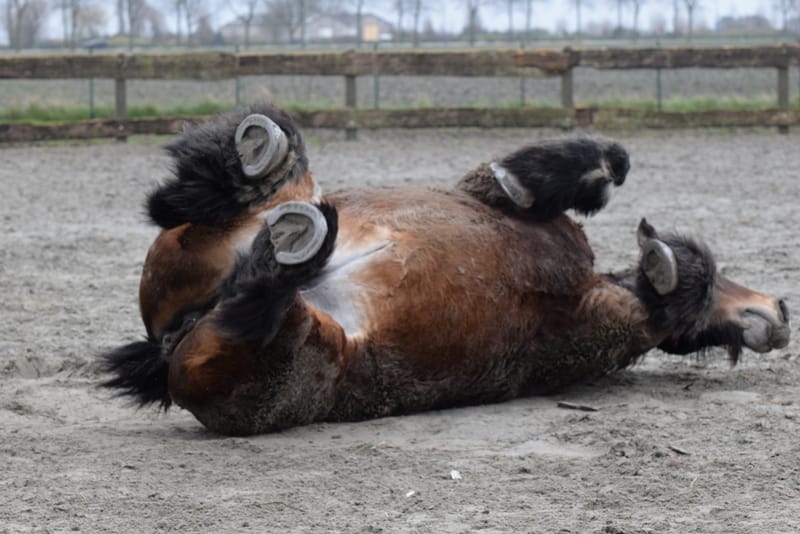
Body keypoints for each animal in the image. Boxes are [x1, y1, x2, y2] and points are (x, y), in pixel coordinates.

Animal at [101, 102, 790, 436]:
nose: (778, 311)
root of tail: (166, 341)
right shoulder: (483, 194)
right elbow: (603, 164)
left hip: (284, 340)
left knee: (255, 296)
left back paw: (288, 234)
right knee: (206, 209)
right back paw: (264, 161)